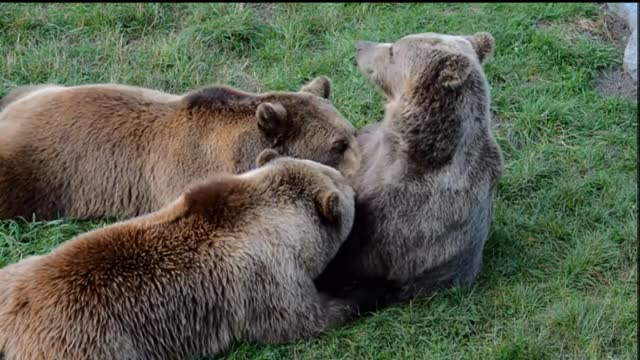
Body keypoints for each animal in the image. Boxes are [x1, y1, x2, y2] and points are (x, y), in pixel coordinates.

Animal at [0, 152, 380, 360]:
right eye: (348, 190)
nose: (354, 185)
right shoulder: (265, 279)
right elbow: (306, 319)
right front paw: (367, 289)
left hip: (14, 273)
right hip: (88, 342)